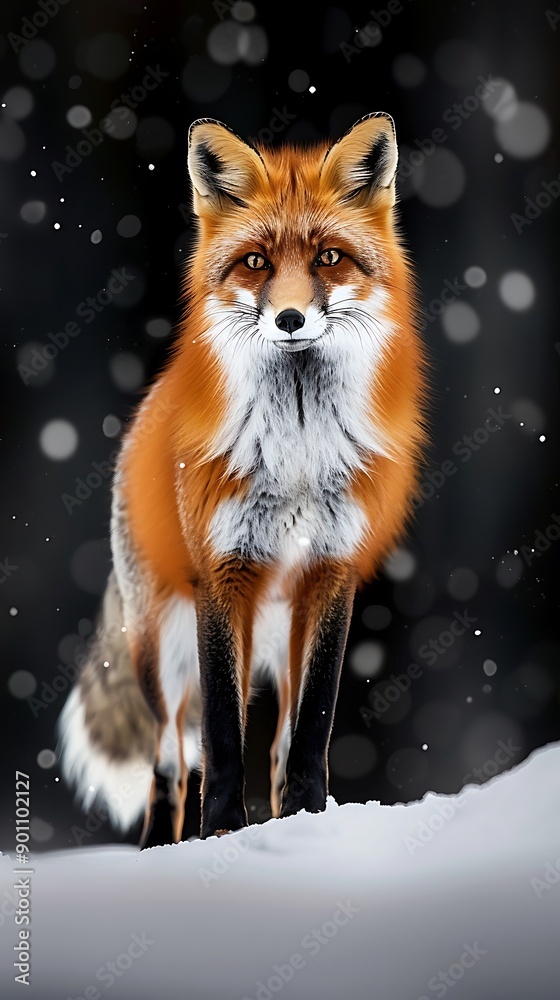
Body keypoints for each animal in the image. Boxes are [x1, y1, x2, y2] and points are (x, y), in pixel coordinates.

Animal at [58, 112, 428, 848]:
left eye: (329, 258)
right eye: (256, 262)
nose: (289, 319)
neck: (296, 459)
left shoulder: (331, 574)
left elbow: (309, 733)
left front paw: (308, 820)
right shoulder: (223, 575)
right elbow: (224, 738)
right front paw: (224, 833)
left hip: (279, 634)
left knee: (278, 741)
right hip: (163, 652)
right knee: (170, 760)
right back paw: (155, 848)